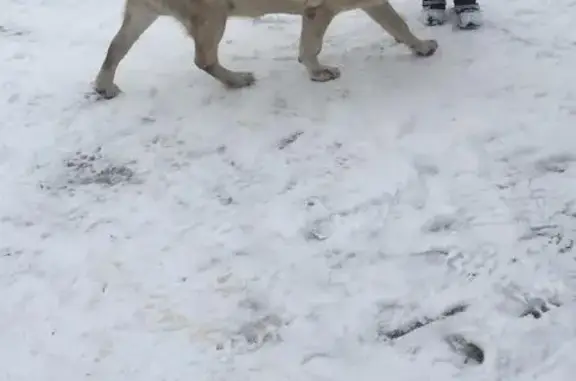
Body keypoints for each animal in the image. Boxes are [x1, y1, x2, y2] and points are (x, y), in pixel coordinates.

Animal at [94, 0, 436, 98]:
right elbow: (310, 46)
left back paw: (104, 86)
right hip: (212, 15)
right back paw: (236, 80)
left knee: (114, 48)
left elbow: (398, 26)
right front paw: (319, 72)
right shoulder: (321, 10)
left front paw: (421, 47)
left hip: (141, 14)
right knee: (203, 59)